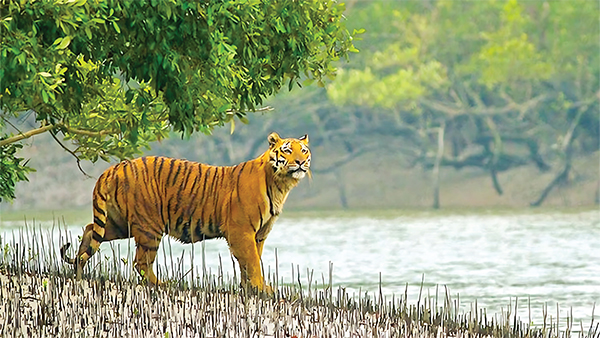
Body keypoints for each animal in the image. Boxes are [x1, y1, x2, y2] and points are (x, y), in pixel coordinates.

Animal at [61, 132, 312, 290]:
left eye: (304, 151)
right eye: (287, 151)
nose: (300, 162)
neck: (280, 184)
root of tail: (114, 168)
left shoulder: (258, 234)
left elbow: (249, 262)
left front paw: (249, 288)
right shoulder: (241, 231)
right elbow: (252, 262)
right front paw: (261, 288)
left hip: (119, 223)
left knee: (89, 231)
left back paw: (79, 273)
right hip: (149, 226)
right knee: (140, 262)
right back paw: (161, 285)